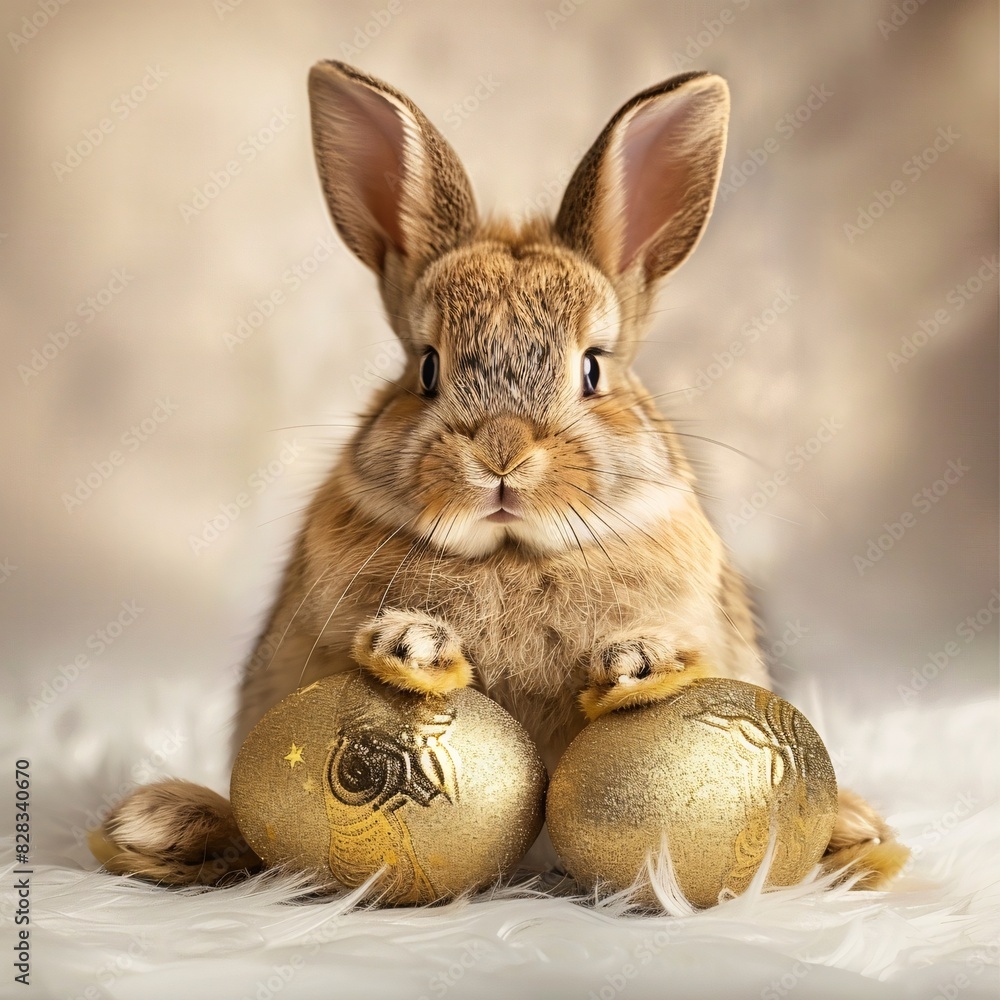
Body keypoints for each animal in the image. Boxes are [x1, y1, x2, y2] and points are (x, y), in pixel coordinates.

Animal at [93, 61, 908, 892]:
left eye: (593, 370)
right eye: (426, 369)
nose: (502, 454)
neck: (513, 553)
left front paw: (639, 660)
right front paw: (413, 645)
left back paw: (853, 830)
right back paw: (156, 822)